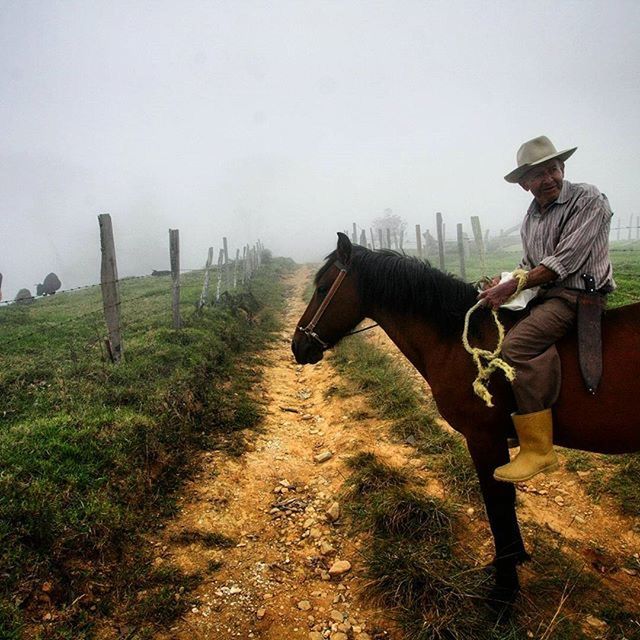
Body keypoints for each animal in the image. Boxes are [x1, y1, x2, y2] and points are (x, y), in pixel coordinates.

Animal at [292, 234, 640, 604]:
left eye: (322, 288)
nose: (298, 345)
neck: (457, 338)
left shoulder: (483, 438)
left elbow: (497, 504)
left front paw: (504, 588)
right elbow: (504, 502)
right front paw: (511, 562)